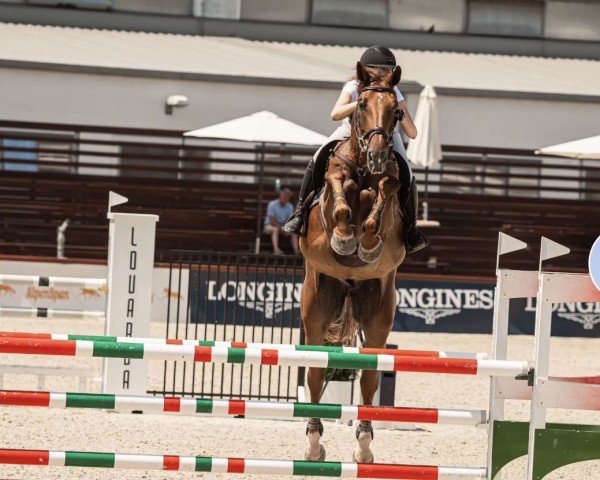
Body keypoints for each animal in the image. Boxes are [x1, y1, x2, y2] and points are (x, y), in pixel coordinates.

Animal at [298, 64, 406, 464]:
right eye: (360, 104)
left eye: (396, 111)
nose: (376, 155)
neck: (362, 169)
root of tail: (347, 285)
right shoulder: (335, 185)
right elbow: (339, 192)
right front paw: (345, 239)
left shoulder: (387, 190)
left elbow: (385, 192)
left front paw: (368, 244)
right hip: (316, 309)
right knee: (315, 375)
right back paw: (314, 442)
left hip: (378, 315)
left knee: (370, 377)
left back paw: (364, 445)